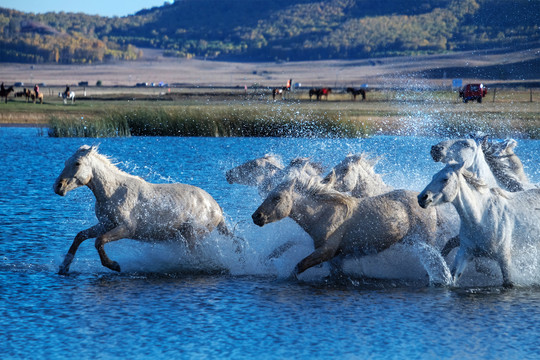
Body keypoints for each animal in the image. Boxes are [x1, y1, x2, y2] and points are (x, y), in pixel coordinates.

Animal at [54, 145, 240, 274]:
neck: (113, 192)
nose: (58, 187)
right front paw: (64, 267)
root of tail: (217, 209)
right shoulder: (106, 224)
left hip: (192, 235)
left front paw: (114, 265)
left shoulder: (127, 228)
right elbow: (80, 236)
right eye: (65, 162)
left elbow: (99, 241)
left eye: (77, 163)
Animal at [252, 165, 452, 286]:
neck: (323, 214)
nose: (256, 216)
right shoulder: (335, 258)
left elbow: (298, 267)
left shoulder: (326, 251)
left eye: (277, 198)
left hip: (426, 239)